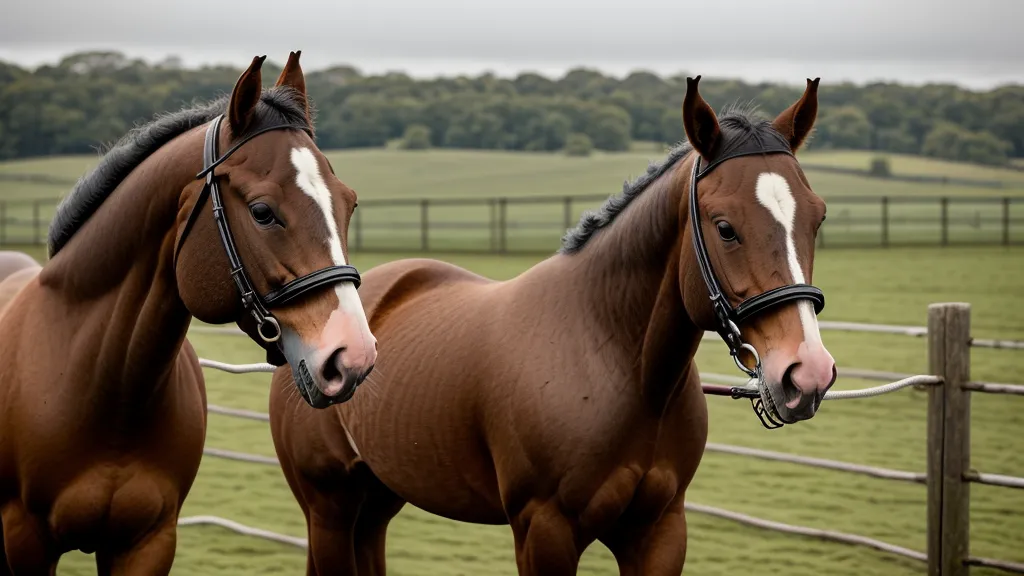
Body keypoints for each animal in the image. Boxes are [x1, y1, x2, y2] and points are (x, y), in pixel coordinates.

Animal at [269, 76, 837, 575]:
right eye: (725, 228)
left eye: (817, 218)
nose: (807, 373)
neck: (615, 363)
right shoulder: (545, 530)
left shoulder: (659, 531)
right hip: (328, 509)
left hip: (376, 502)